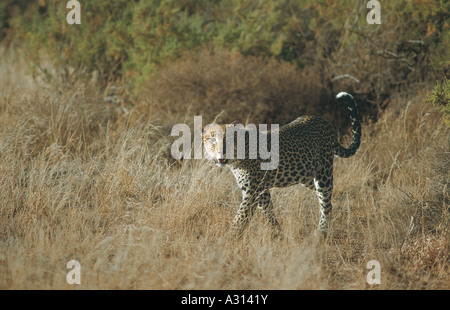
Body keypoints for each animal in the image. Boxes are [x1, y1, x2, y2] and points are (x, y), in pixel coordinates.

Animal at [202, 92, 360, 237]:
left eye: (228, 140)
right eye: (212, 140)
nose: (221, 152)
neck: (235, 161)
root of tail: (324, 121)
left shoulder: (252, 190)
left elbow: (240, 217)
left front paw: (229, 239)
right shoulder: (260, 191)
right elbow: (268, 212)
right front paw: (278, 234)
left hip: (324, 175)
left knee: (326, 202)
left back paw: (321, 233)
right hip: (307, 177)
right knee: (327, 201)